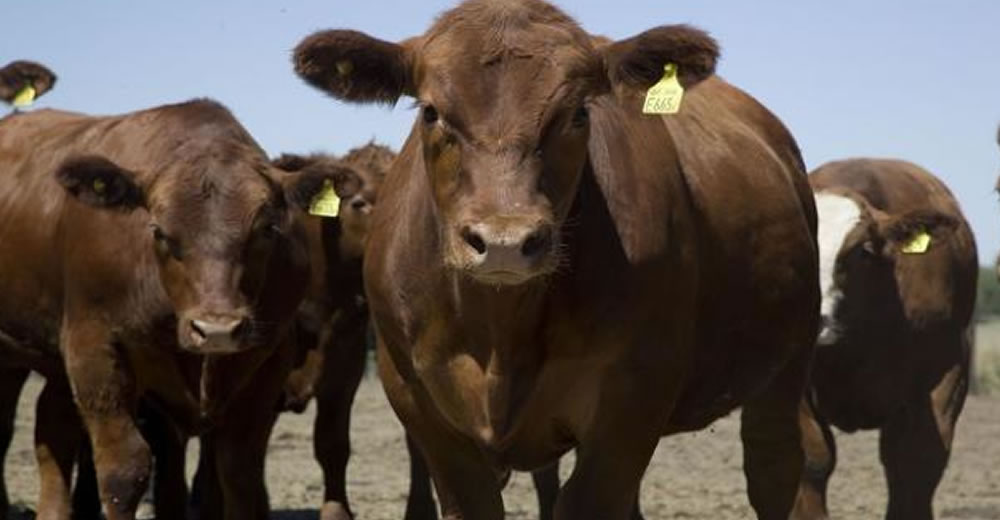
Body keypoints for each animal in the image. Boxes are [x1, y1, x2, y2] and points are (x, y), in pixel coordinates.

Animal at [0, 98, 358, 520]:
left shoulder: (268, 358)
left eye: (267, 229)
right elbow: (124, 469)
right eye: (158, 230)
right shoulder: (93, 348)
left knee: (52, 429)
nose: (217, 330)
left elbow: (239, 471)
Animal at [292, 2, 820, 516]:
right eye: (431, 112)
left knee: (776, 466)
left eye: (578, 114)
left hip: (788, 364)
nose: (505, 240)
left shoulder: (631, 405)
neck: (500, 334)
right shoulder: (419, 404)